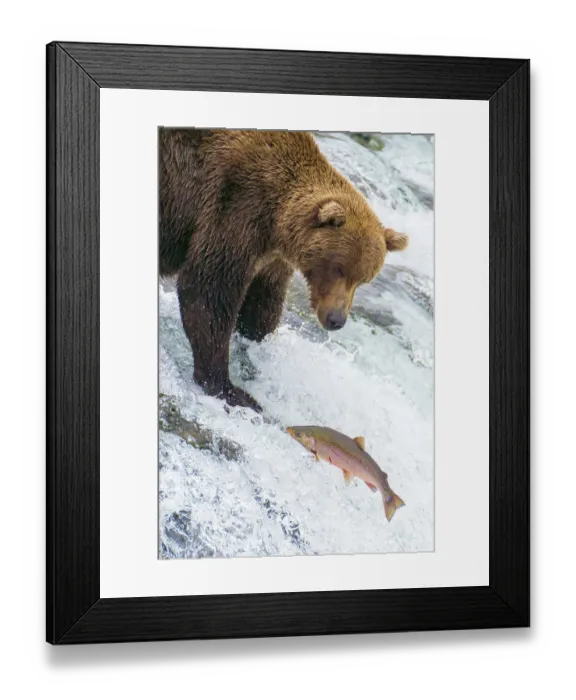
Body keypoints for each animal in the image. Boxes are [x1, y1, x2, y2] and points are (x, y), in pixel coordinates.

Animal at [159, 128, 409, 412]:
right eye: (339, 269)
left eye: (363, 279)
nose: (336, 320)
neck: (277, 221)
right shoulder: (235, 206)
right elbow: (207, 289)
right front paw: (229, 388)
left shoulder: (271, 257)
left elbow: (261, 304)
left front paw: (260, 352)